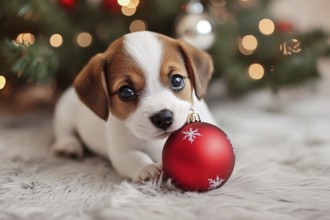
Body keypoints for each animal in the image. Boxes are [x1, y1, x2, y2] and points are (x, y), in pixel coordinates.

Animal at [51, 31, 217, 182]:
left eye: (177, 80)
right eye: (126, 92)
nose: (163, 118)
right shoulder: (122, 152)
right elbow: (136, 157)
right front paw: (148, 169)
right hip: (64, 114)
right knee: (64, 132)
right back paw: (69, 145)